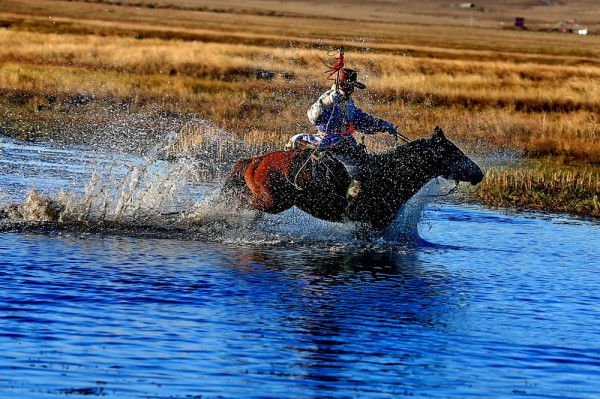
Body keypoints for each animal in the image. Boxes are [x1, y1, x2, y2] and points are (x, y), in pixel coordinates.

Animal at [223, 128, 486, 231]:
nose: (479, 173)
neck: (391, 173)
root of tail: (256, 159)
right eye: (452, 151)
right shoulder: (370, 225)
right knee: (243, 201)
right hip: (273, 202)